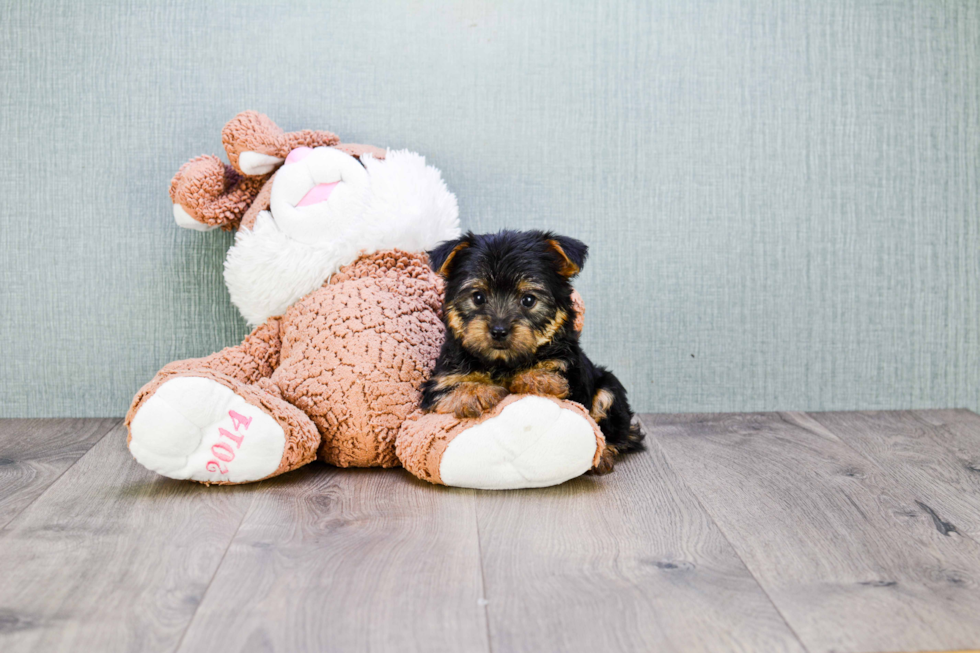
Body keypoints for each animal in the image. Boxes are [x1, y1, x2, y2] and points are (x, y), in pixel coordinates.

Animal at [422, 232, 644, 472]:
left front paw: (537, 379)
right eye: (478, 297)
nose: (498, 330)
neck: (503, 363)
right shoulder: (440, 383)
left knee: (615, 428)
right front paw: (476, 393)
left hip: (609, 388)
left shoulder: (570, 371)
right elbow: (449, 391)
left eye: (528, 300)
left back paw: (603, 455)